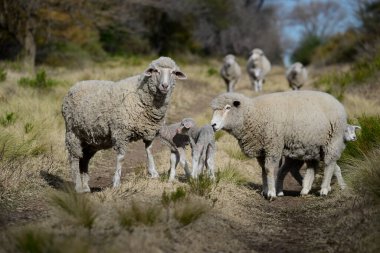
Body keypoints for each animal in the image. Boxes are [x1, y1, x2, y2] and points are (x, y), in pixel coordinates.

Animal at [61, 56, 186, 193]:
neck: (140, 95)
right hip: (72, 132)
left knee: (84, 159)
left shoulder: (150, 130)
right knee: (74, 158)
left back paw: (86, 187)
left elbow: (149, 150)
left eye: (173, 72)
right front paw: (116, 182)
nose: (165, 86)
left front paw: (153, 173)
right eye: (156, 71)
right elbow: (121, 157)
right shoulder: (121, 132)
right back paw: (78, 186)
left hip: (92, 139)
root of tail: (75, 85)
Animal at [211, 91, 348, 200]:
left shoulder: (273, 146)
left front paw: (271, 193)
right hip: (312, 147)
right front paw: (265, 191)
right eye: (214, 110)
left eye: (228, 107)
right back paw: (305, 190)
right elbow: (263, 170)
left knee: (329, 164)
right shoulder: (262, 150)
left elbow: (269, 169)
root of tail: (337, 102)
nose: (213, 124)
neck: (255, 113)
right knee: (312, 167)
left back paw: (324, 189)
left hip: (332, 141)